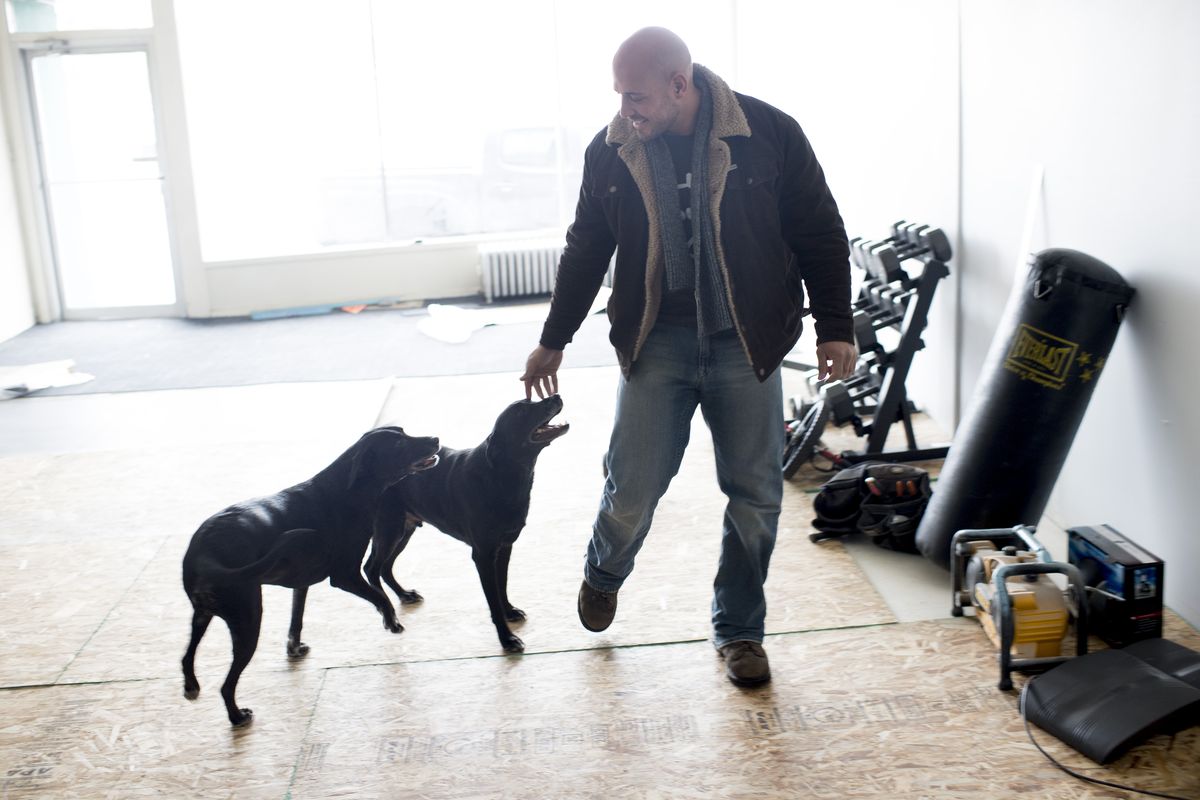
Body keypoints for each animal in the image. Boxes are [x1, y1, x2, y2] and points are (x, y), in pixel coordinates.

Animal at [180, 429, 439, 729]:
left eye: (404, 432)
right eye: (398, 443)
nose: (435, 439)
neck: (347, 491)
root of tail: (204, 556)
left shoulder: (300, 584)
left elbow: (297, 619)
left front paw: (294, 647)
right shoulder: (345, 575)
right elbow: (378, 596)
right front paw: (391, 620)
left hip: (203, 616)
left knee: (186, 657)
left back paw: (191, 686)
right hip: (248, 619)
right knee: (226, 685)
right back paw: (236, 716)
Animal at [364, 393, 571, 652]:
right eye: (522, 413)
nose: (556, 395)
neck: (502, 474)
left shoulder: (504, 547)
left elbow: (502, 585)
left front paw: (509, 611)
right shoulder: (483, 555)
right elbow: (493, 601)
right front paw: (506, 638)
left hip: (404, 529)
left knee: (385, 566)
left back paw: (404, 595)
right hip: (389, 528)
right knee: (371, 568)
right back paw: (389, 615)